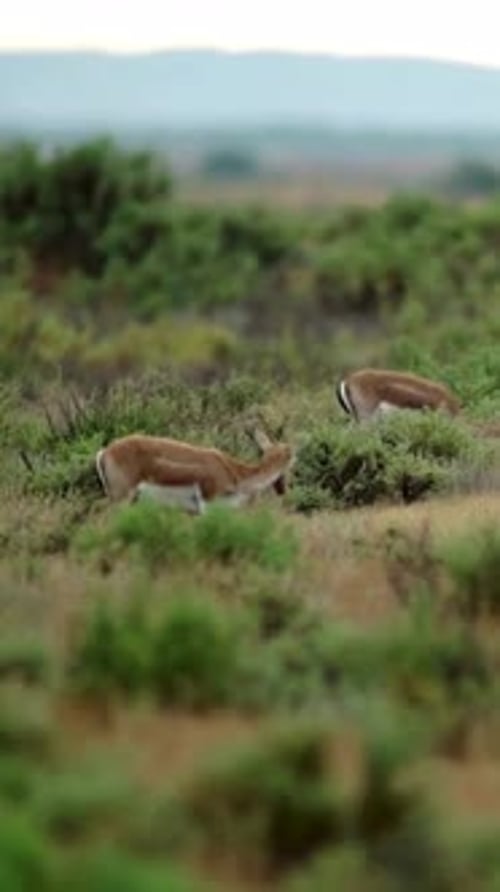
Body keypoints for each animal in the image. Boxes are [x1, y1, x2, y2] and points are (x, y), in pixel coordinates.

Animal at [95, 428, 294, 514]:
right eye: (292, 460)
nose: (283, 490)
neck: (234, 473)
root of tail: (105, 451)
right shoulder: (207, 503)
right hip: (121, 497)